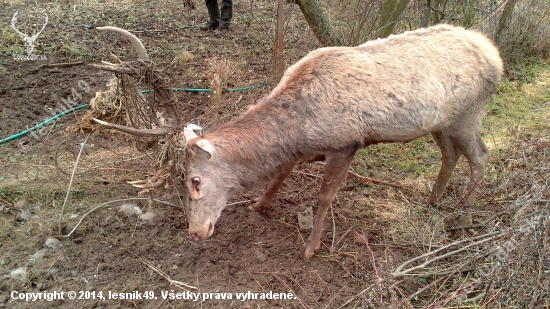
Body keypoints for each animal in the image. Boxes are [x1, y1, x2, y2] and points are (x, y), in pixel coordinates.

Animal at [94, 23, 504, 258]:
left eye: (195, 180)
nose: (196, 232)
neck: (298, 127)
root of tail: (495, 54)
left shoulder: (344, 144)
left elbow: (323, 197)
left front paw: (311, 247)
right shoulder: (305, 150)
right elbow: (281, 171)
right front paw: (259, 204)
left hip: (470, 112)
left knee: (482, 156)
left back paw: (462, 217)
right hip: (443, 122)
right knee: (450, 155)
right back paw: (433, 200)